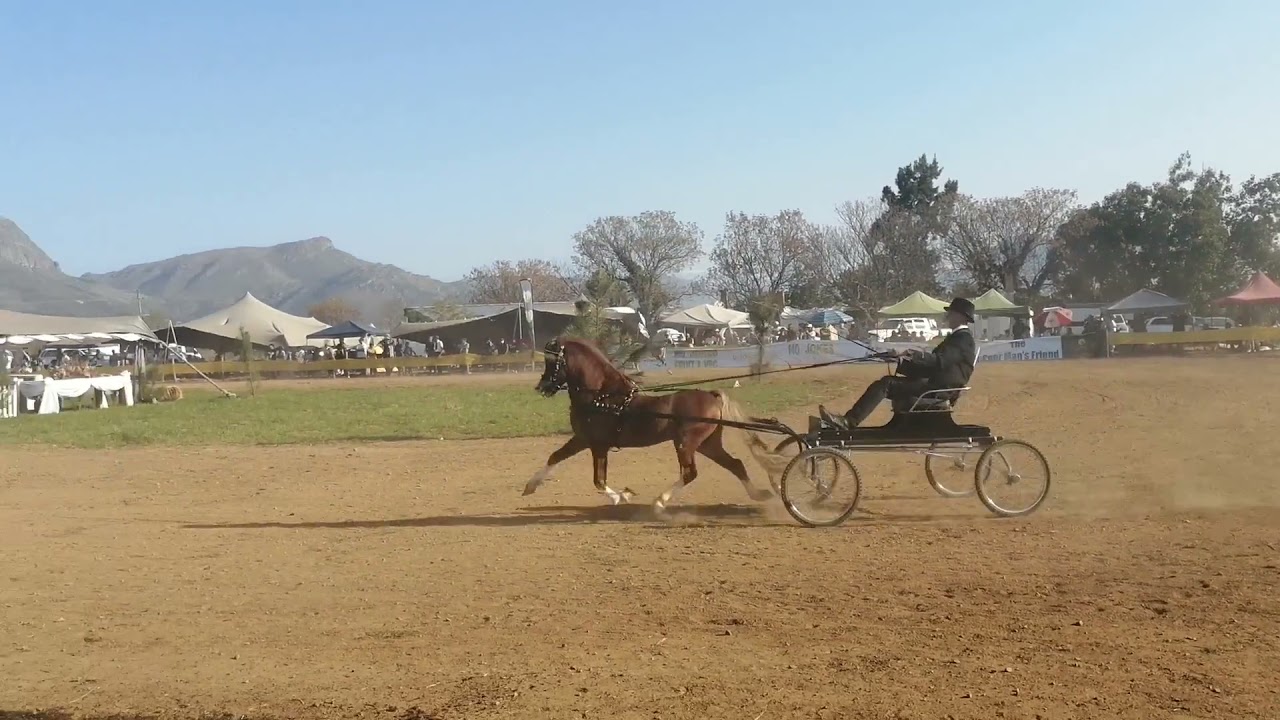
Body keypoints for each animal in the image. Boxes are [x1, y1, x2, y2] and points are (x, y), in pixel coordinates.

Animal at [523, 337, 784, 512]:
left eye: (552, 361)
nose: (542, 387)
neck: (602, 396)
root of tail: (711, 395)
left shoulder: (597, 444)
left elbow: (599, 480)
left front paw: (620, 497)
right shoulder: (582, 439)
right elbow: (555, 457)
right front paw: (530, 486)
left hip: (686, 443)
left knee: (690, 473)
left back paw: (660, 502)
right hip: (707, 444)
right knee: (735, 465)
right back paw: (760, 494)